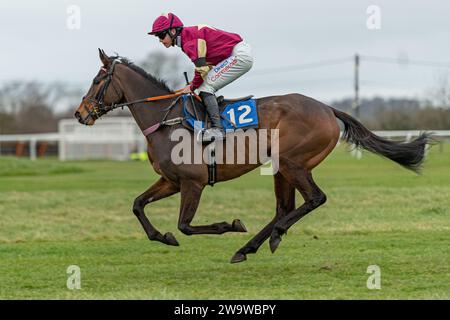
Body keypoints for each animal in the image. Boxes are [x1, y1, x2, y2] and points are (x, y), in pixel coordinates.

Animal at [75, 48, 430, 262]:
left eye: (96, 80)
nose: (80, 114)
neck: (167, 120)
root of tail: (327, 108)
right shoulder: (171, 180)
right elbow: (138, 205)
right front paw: (162, 236)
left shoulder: (193, 182)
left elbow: (186, 225)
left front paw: (229, 224)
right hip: (281, 168)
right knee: (285, 207)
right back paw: (252, 246)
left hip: (292, 162)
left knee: (314, 199)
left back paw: (271, 236)